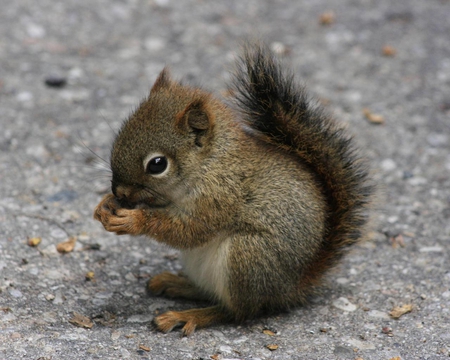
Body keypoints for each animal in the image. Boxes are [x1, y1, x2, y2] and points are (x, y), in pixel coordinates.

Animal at [92, 43, 372, 336]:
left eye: (157, 164)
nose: (120, 192)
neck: (210, 163)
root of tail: (291, 287)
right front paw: (105, 205)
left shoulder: (220, 197)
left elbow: (190, 230)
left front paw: (133, 220)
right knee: (210, 293)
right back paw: (176, 284)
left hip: (248, 257)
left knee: (236, 311)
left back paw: (188, 315)